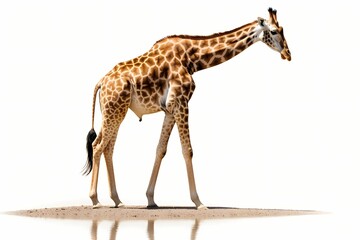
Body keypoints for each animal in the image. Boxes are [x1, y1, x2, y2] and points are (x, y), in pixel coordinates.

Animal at [83, 7, 292, 210]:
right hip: (114, 111)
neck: (193, 59)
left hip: (116, 111)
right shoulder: (182, 103)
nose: (287, 54)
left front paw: (151, 199)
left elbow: (161, 149)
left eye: (282, 30)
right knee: (98, 146)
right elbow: (188, 150)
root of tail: (101, 82)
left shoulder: (170, 109)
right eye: (274, 31)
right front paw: (199, 202)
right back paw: (95, 200)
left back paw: (117, 200)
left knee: (108, 148)